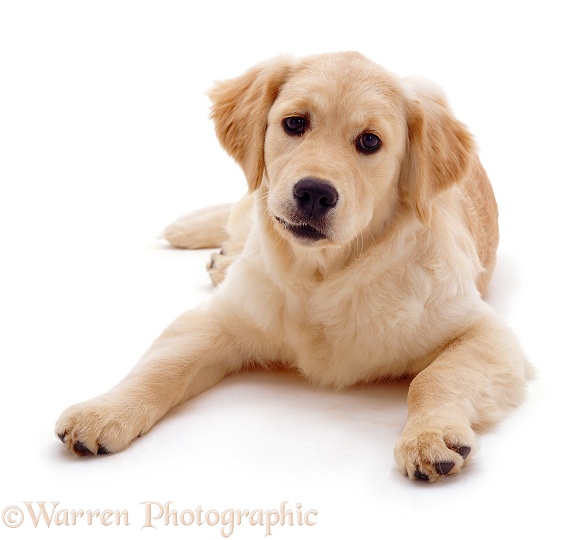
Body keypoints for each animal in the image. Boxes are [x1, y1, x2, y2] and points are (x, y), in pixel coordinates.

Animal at [56, 52, 532, 484]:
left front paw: (430, 436)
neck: (323, 275)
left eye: (370, 141)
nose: (314, 193)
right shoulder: (219, 319)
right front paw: (105, 411)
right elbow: (162, 366)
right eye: (295, 123)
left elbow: (435, 378)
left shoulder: (482, 330)